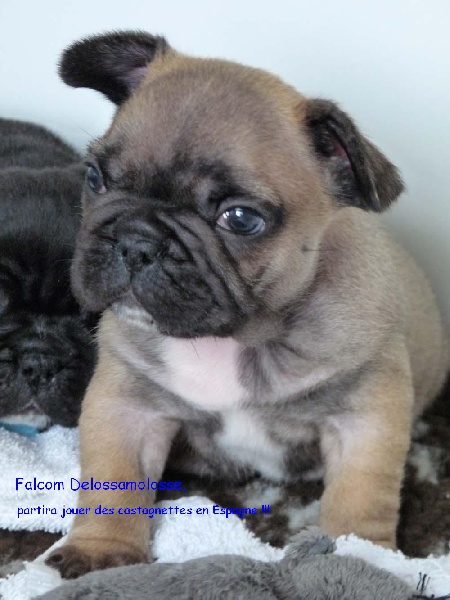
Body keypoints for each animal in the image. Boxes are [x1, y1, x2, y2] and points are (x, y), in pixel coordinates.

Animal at [46, 31, 448, 578]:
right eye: (94, 178)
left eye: (240, 219)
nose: (135, 240)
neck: (234, 338)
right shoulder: (126, 405)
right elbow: (114, 480)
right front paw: (100, 551)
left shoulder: (365, 417)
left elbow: (360, 497)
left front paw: (358, 557)